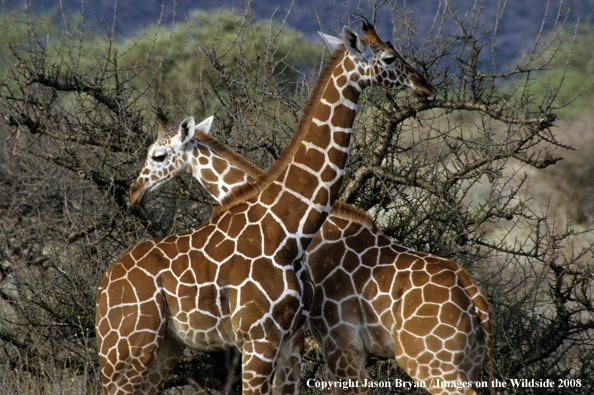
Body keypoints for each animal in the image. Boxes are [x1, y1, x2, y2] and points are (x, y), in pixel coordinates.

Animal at [93, 19, 430, 395]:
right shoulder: (259, 338)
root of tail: (102, 286)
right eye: (388, 58)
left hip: (163, 347)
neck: (290, 231)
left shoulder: (291, 339)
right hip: (126, 349)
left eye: (158, 155)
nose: (424, 84)